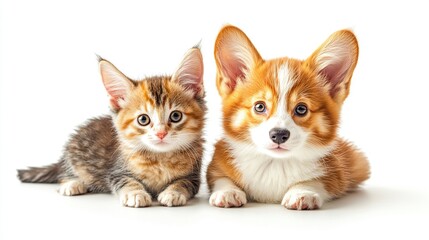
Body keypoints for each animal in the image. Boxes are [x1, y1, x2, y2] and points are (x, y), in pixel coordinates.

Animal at [19, 46, 206, 207]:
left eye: (175, 116)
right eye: (143, 119)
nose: (161, 133)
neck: (159, 157)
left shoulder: (194, 175)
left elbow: (183, 182)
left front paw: (173, 192)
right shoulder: (116, 171)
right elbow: (127, 181)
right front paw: (135, 193)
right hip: (73, 156)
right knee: (64, 174)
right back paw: (72, 184)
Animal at [206, 25, 368, 209]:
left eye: (301, 109)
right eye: (259, 106)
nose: (278, 135)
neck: (275, 163)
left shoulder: (336, 169)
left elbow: (319, 180)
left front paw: (302, 192)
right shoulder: (216, 165)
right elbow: (220, 177)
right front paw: (228, 192)